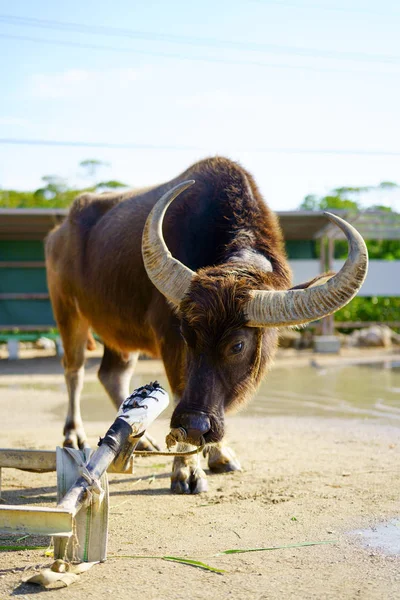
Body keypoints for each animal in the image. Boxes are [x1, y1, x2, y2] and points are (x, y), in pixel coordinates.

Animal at [45, 156, 368, 492]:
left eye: (237, 345)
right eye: (186, 335)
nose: (193, 426)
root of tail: (59, 231)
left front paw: (219, 454)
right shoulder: (169, 341)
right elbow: (179, 390)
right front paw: (186, 469)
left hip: (120, 332)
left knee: (112, 374)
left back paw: (140, 437)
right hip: (67, 311)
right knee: (74, 370)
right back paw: (74, 435)